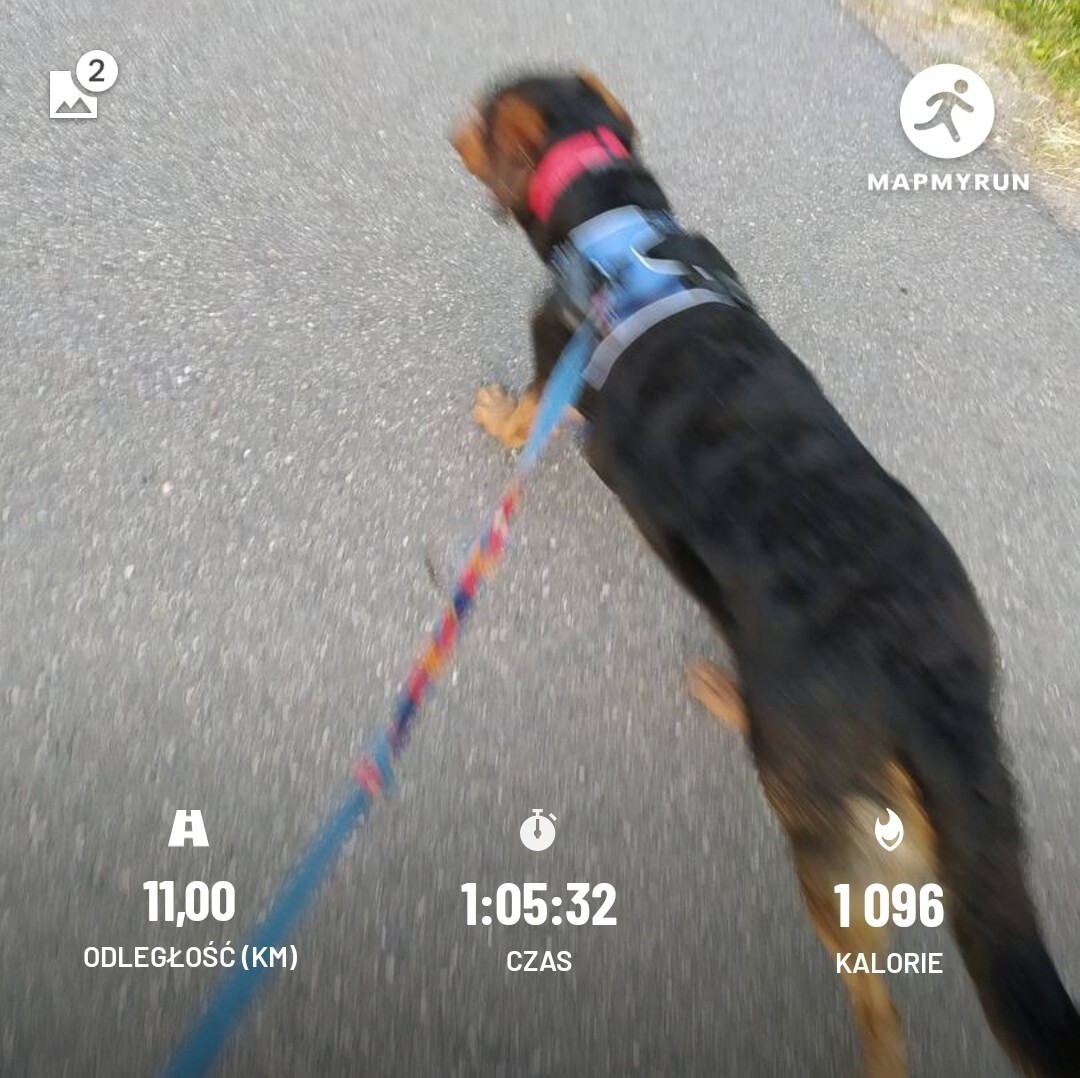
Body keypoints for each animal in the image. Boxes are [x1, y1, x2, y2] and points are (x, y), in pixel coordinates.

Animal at [451, 71, 1080, 1076]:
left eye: (480, 118)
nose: (449, 130)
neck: (619, 227)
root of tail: (931, 677)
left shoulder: (555, 353)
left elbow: (523, 418)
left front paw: (496, 417)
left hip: (816, 807)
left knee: (876, 998)